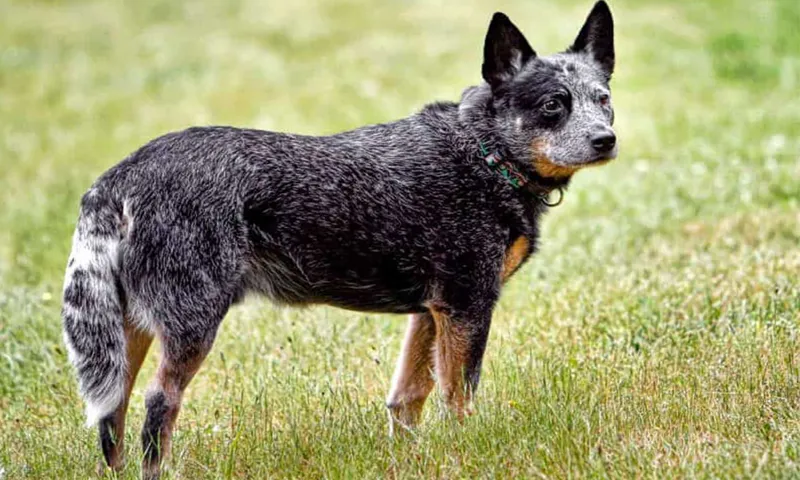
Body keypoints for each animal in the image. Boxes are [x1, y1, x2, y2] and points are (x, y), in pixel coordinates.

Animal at [62, 2, 620, 476]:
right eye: (553, 105)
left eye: (604, 101)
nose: (606, 140)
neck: (485, 154)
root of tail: (120, 176)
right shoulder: (467, 303)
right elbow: (457, 397)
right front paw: (465, 454)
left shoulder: (430, 311)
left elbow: (408, 397)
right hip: (192, 321)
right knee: (159, 405)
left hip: (126, 330)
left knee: (113, 411)